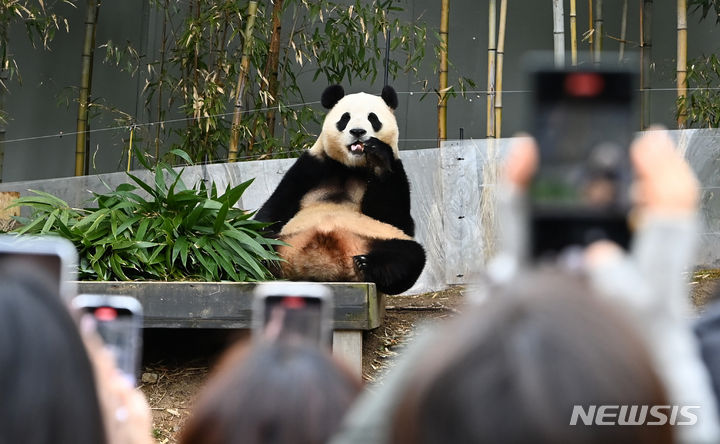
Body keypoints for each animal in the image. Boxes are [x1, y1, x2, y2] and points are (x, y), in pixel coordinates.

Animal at [255, 85, 426, 295]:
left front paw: (377, 157)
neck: (350, 166)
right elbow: (276, 206)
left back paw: (366, 265)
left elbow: (397, 219)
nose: (358, 131)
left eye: (373, 118)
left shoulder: (395, 169)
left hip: (377, 239)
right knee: (257, 243)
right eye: (345, 118)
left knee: (409, 255)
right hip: (284, 239)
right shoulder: (311, 166)